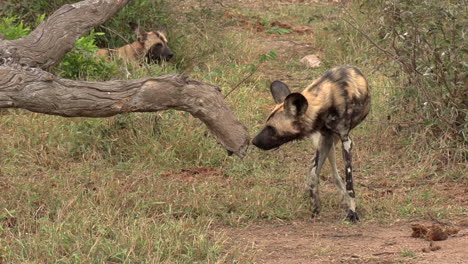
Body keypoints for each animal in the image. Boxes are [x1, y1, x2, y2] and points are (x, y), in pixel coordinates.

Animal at [254, 66, 372, 223]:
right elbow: (313, 175)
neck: (327, 101)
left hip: (334, 140)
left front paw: (352, 212)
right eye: (266, 125)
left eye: (271, 128)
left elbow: (349, 183)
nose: (253, 141)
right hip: (327, 141)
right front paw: (315, 206)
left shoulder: (345, 141)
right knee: (314, 166)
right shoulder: (326, 137)